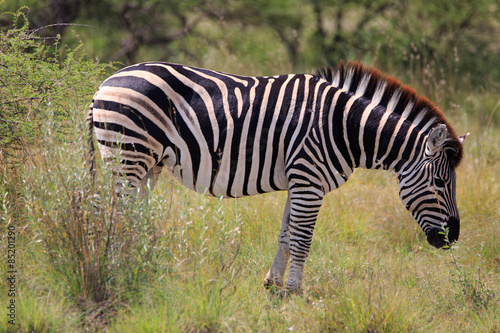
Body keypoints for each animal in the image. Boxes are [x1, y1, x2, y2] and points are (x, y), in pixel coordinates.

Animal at [87, 61, 468, 292]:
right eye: (439, 184)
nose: (453, 239)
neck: (344, 127)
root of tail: (105, 83)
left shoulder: (301, 181)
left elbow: (287, 233)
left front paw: (274, 285)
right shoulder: (309, 180)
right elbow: (303, 238)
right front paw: (296, 291)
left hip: (147, 166)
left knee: (133, 217)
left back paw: (142, 265)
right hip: (127, 156)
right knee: (109, 214)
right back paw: (116, 266)